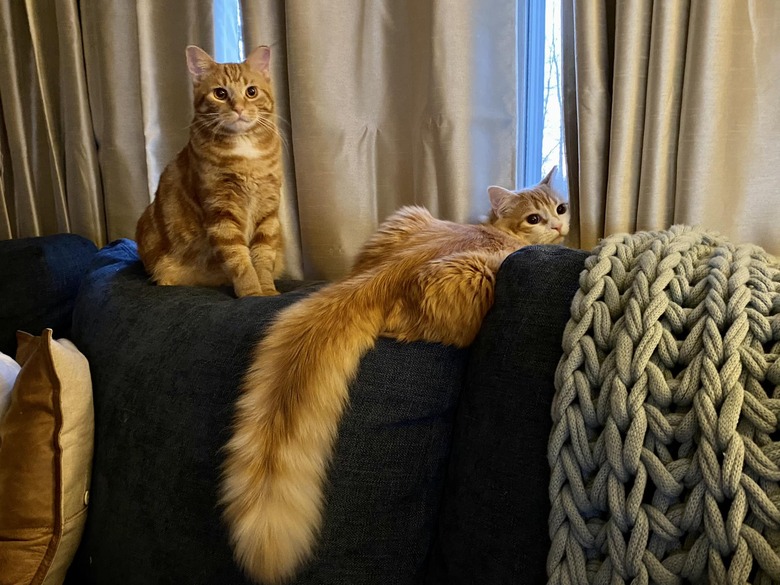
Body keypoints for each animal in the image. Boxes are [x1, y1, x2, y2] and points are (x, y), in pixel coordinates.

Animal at [136, 44, 284, 296]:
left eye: (251, 92)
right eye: (220, 94)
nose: (239, 109)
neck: (246, 152)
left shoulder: (268, 211)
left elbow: (263, 258)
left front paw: (268, 291)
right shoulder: (220, 211)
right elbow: (240, 261)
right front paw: (252, 293)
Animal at [222, 167, 568, 580]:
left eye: (560, 208)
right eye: (533, 218)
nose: (559, 227)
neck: (496, 228)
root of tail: (378, 277)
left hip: (406, 216)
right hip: (472, 276)